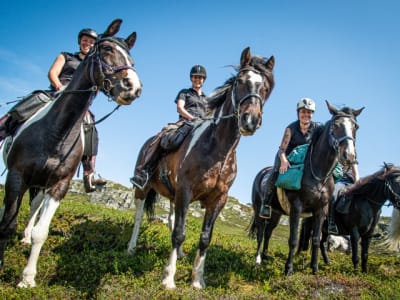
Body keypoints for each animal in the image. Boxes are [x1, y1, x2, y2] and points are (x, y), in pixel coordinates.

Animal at [0, 19, 142, 288]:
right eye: (106, 49)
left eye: (132, 59)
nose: (134, 88)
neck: (56, 132)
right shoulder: (16, 176)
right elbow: (6, 224)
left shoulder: (59, 185)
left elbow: (41, 232)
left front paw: (28, 278)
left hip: (41, 183)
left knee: (34, 206)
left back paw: (25, 237)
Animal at [128, 47, 276, 288]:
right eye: (240, 82)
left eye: (265, 87)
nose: (250, 121)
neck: (218, 150)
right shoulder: (185, 191)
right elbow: (179, 233)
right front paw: (168, 279)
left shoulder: (218, 200)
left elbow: (204, 238)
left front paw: (197, 280)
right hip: (144, 188)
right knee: (140, 216)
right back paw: (131, 248)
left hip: (173, 195)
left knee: (171, 219)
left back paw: (180, 255)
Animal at [248, 102, 364, 276]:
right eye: (335, 125)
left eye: (355, 126)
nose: (349, 156)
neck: (318, 174)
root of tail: (261, 173)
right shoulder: (296, 207)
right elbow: (293, 240)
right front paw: (288, 269)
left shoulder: (321, 210)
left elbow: (315, 240)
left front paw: (314, 268)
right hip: (259, 211)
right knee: (261, 233)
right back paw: (258, 260)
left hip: (276, 213)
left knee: (268, 232)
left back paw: (266, 255)